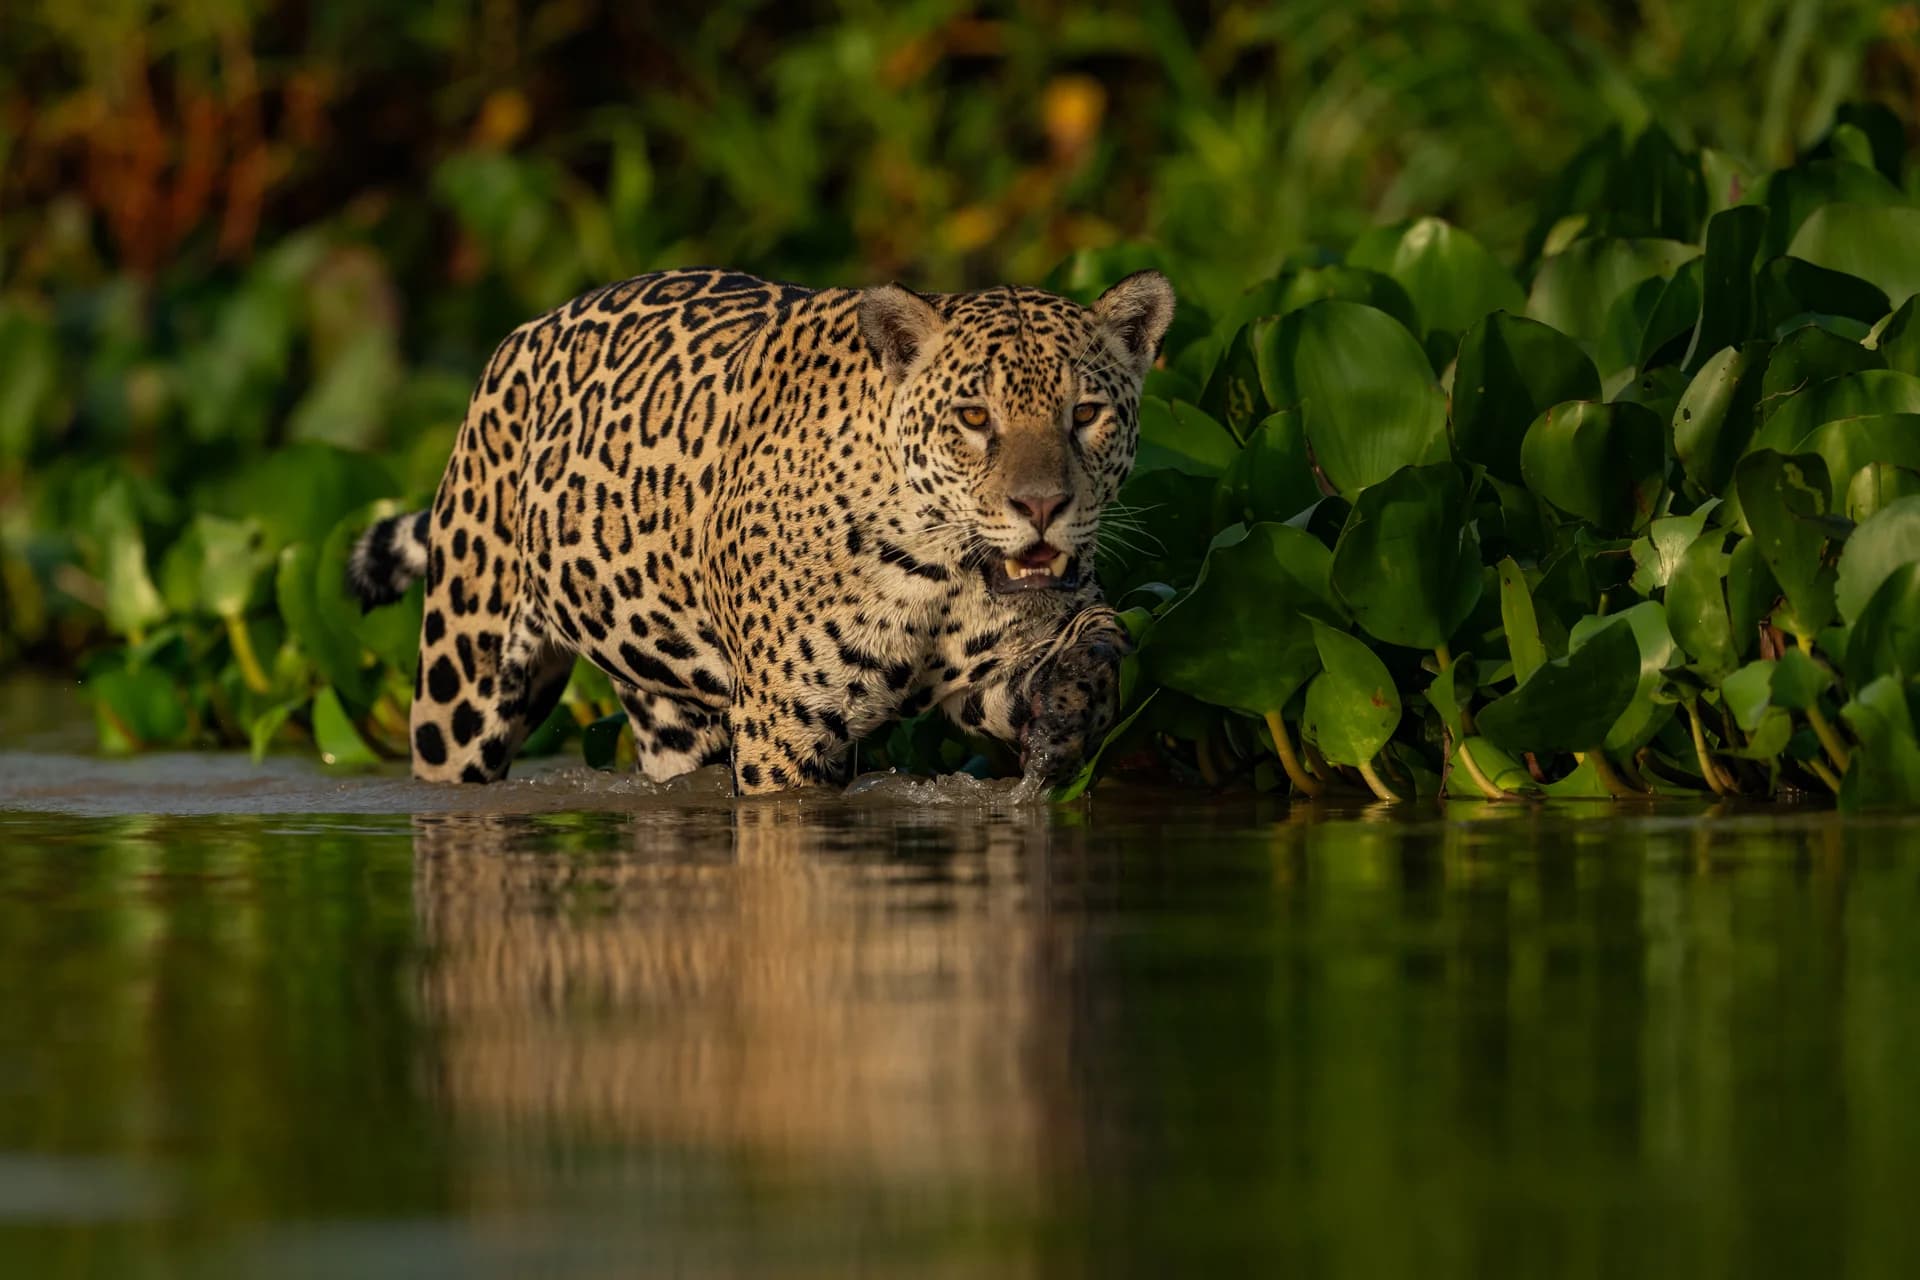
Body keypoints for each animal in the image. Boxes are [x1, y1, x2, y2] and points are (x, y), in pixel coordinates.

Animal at [346, 267, 1174, 795]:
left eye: (1086, 414)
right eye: (974, 418)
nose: (1042, 507)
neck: (937, 566)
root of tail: (519, 334)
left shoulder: (993, 669)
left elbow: (1095, 632)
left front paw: (1077, 702)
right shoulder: (785, 730)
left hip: (670, 708)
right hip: (463, 682)